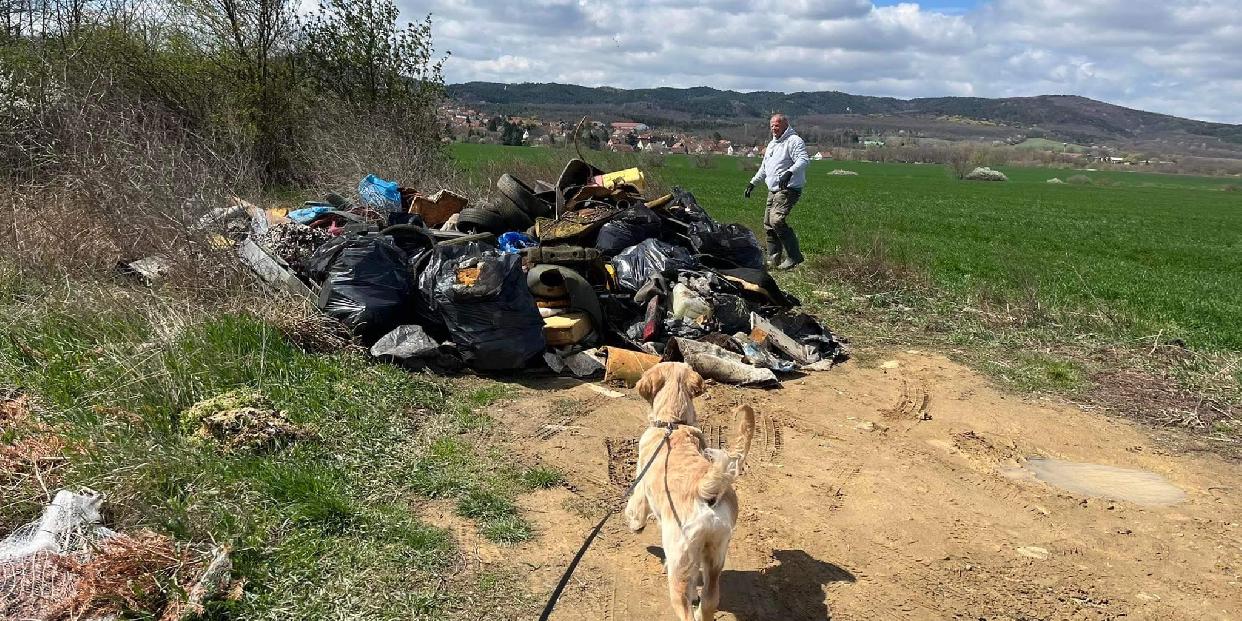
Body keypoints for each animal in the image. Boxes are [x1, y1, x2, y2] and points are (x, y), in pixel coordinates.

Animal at [625, 362, 750, 618]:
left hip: (679, 565)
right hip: (715, 555)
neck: (673, 424)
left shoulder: (641, 487)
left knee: (685, 609)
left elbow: (635, 509)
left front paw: (634, 525)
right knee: (709, 599)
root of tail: (705, 489)